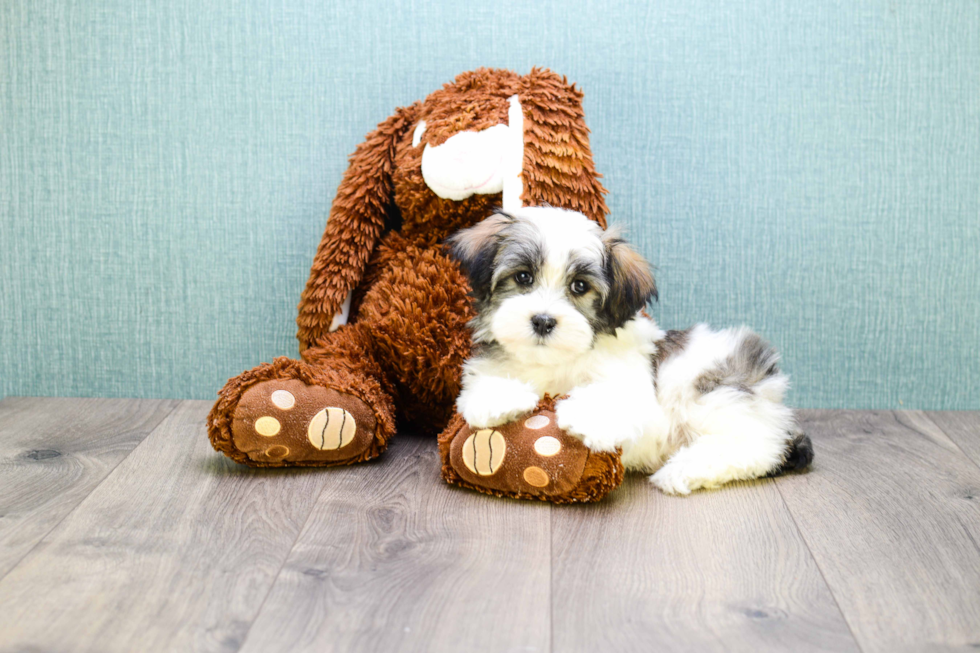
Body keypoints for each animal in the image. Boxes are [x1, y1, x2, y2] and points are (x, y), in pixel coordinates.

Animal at [446, 206, 812, 492]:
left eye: (580, 286)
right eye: (523, 277)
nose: (543, 321)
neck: (556, 364)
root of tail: (769, 383)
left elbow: (615, 395)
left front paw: (585, 415)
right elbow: (478, 390)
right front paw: (499, 399)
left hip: (709, 391)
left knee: (756, 446)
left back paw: (682, 471)